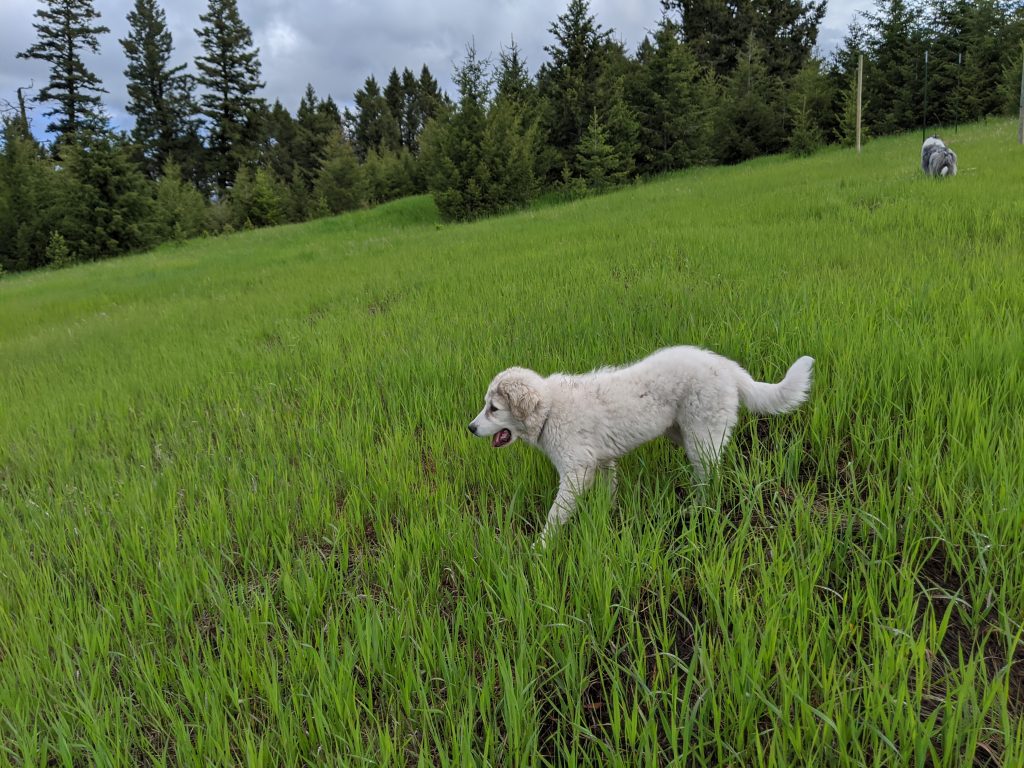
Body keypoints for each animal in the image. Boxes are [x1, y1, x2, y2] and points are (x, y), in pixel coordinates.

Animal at [468, 348, 815, 548]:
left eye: (493, 409)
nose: (470, 428)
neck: (550, 408)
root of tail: (726, 366)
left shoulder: (577, 471)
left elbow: (555, 516)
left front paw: (539, 549)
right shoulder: (602, 463)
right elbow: (607, 494)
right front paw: (607, 519)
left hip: (701, 437)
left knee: (709, 477)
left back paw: (700, 510)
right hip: (683, 433)